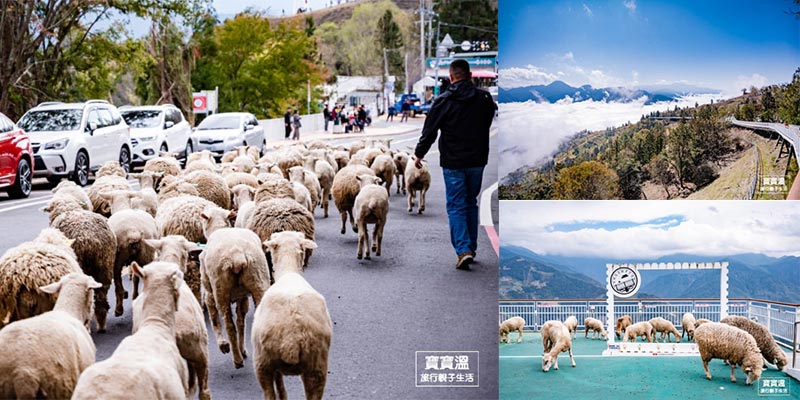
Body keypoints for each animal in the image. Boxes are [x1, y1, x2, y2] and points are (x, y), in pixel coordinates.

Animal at [43, 197, 115, 332]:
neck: (69, 209)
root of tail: (90, 240)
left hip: (84, 265)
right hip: (104, 266)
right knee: (101, 297)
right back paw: (101, 323)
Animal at [199, 209, 268, 368]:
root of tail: (237, 256)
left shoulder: (209, 293)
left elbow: (214, 319)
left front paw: (223, 345)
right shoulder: (242, 297)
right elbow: (241, 322)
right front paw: (243, 349)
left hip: (220, 289)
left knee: (228, 324)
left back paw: (237, 359)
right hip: (259, 280)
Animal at [255, 231, 332, 400]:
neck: (288, 271)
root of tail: (291, 339)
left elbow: (279, 383)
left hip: (262, 364)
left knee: (269, 393)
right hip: (317, 366)